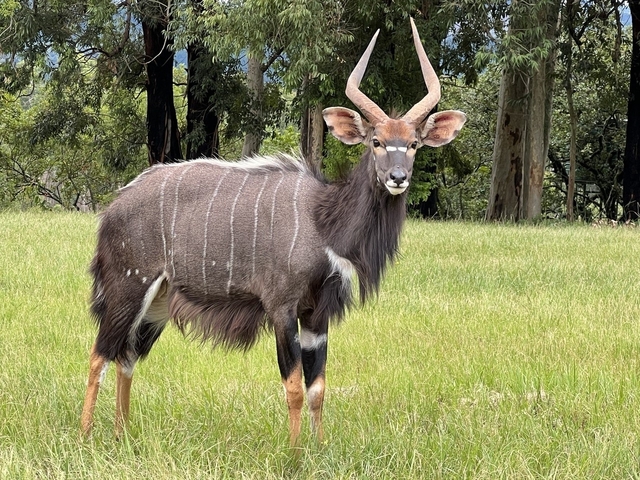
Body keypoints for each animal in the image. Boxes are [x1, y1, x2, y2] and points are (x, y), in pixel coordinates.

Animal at [80, 18, 466, 447]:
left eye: (413, 144)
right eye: (376, 141)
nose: (397, 178)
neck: (324, 222)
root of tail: (112, 209)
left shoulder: (317, 313)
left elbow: (318, 387)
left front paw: (319, 448)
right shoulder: (282, 306)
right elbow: (294, 386)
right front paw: (295, 453)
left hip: (158, 302)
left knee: (126, 357)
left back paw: (122, 435)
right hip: (129, 286)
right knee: (99, 354)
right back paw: (85, 437)